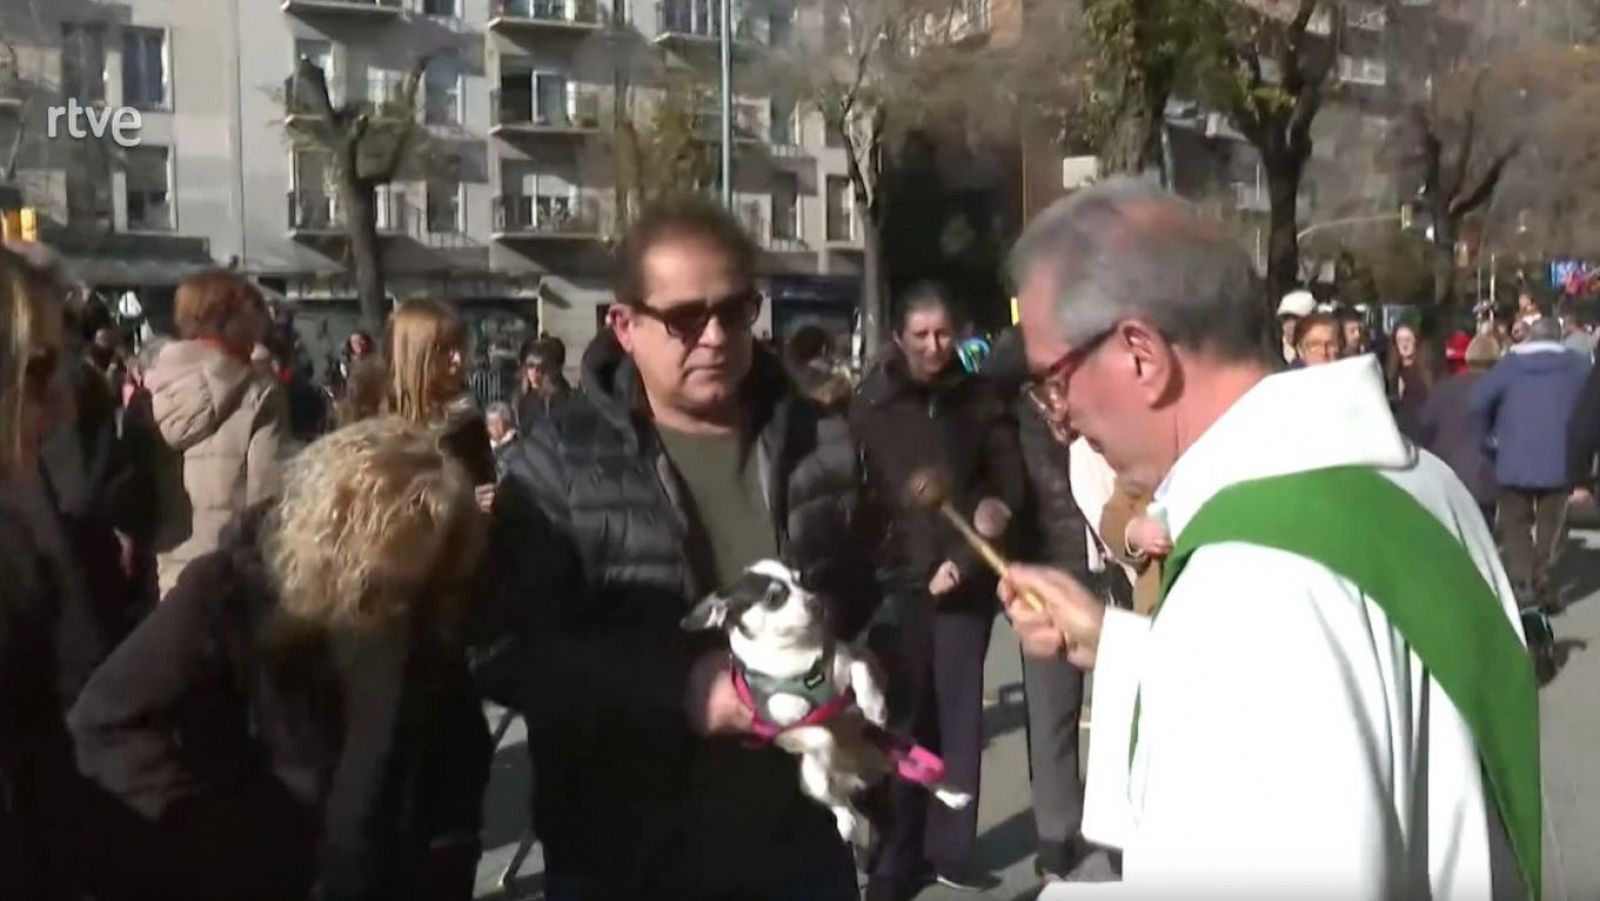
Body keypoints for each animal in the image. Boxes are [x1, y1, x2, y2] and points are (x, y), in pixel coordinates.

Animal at [681, 553, 966, 857]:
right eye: (773, 597)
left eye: (803, 580)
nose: (816, 601)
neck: (798, 659)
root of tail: (862, 777)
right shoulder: (783, 726)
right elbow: (816, 731)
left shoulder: (847, 658)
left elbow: (860, 669)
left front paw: (873, 704)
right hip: (811, 781)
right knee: (836, 801)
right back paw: (850, 821)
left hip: (894, 750)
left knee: (920, 775)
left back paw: (952, 794)